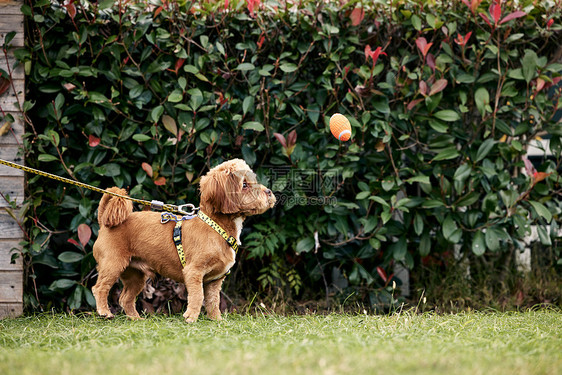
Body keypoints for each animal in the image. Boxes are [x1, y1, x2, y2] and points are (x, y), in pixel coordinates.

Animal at [91, 159, 274, 324]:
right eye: (245, 185)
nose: (269, 192)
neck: (216, 227)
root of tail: (104, 224)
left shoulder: (215, 280)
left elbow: (213, 301)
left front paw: (217, 320)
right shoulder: (194, 272)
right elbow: (198, 296)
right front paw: (191, 318)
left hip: (135, 275)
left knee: (125, 298)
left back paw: (136, 319)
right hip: (113, 264)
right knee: (99, 288)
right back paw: (104, 312)